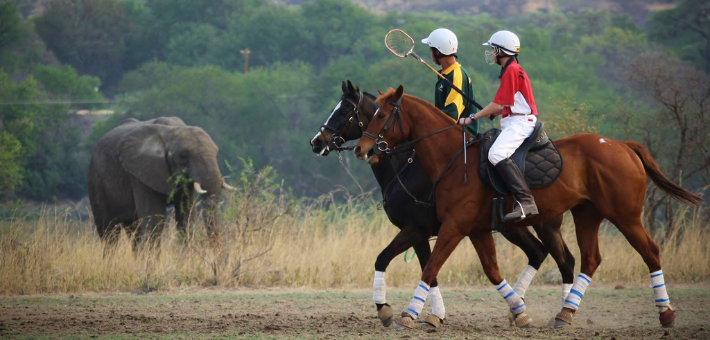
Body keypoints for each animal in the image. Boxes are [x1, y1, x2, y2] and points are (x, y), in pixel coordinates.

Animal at [87, 117, 235, 244]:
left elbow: (186, 217)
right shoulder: (140, 172)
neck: (171, 130)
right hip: (96, 178)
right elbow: (154, 220)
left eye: (217, 154)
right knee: (108, 232)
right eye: (184, 155)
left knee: (134, 231)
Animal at [308, 81, 576, 328]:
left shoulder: (417, 229)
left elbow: (386, 259)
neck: (407, 166)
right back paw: (523, 309)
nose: (316, 141)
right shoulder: (422, 234)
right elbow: (430, 271)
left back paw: (562, 313)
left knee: (564, 261)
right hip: (512, 227)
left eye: (344, 110)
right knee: (539, 253)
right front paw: (435, 314)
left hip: (546, 226)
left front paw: (385, 309)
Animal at [354, 86, 704, 330]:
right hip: (586, 214)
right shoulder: (475, 230)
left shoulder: (450, 227)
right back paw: (565, 313)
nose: (362, 149)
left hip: (624, 215)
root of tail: (625, 146)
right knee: (588, 259)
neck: (451, 159)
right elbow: (491, 271)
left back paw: (666, 313)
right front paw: (519, 312)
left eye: (381, 115)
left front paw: (408, 314)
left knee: (649, 251)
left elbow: (430, 268)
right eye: (369, 114)